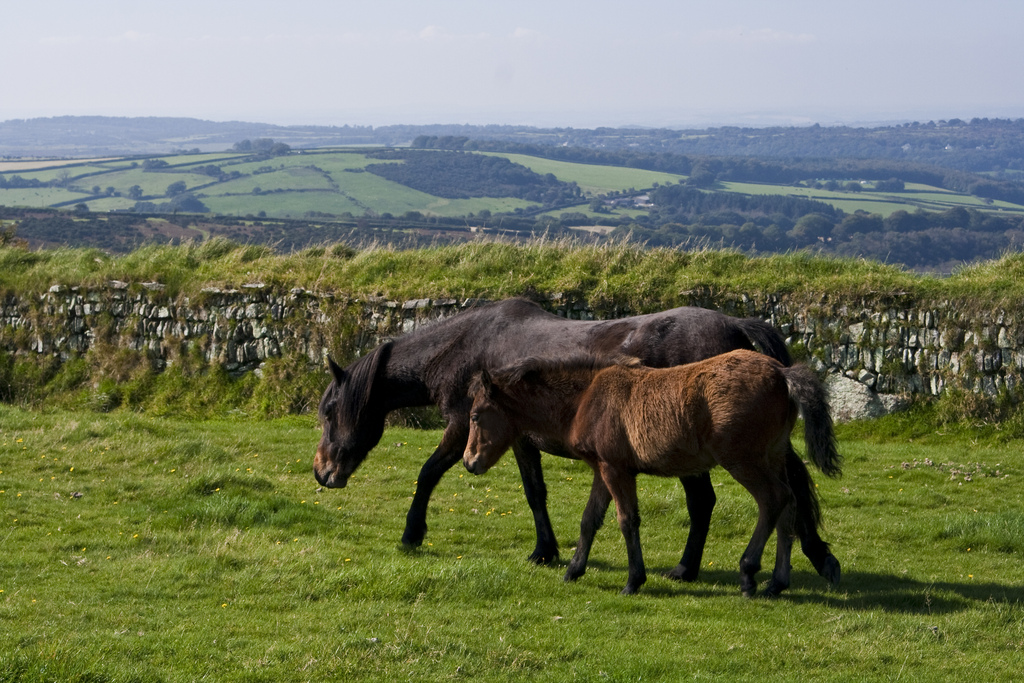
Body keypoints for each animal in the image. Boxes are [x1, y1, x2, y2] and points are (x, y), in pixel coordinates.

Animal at [314, 297, 796, 575]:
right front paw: (544, 550)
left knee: (704, 503)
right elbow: (535, 493)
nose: (322, 472)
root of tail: (735, 326)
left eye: (329, 411)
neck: (465, 347)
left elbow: (428, 473)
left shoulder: (461, 426)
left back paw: (687, 568)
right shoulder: (517, 439)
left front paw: (412, 533)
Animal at [463, 349, 842, 597]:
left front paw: (633, 581)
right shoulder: (603, 470)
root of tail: (782, 374)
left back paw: (749, 573)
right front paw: (573, 570)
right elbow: (589, 519)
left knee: (772, 499)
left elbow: (627, 520)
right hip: (773, 455)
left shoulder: (617, 470)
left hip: (743, 460)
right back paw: (777, 582)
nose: (469, 462)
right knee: (789, 504)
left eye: (476, 416)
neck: (587, 398)